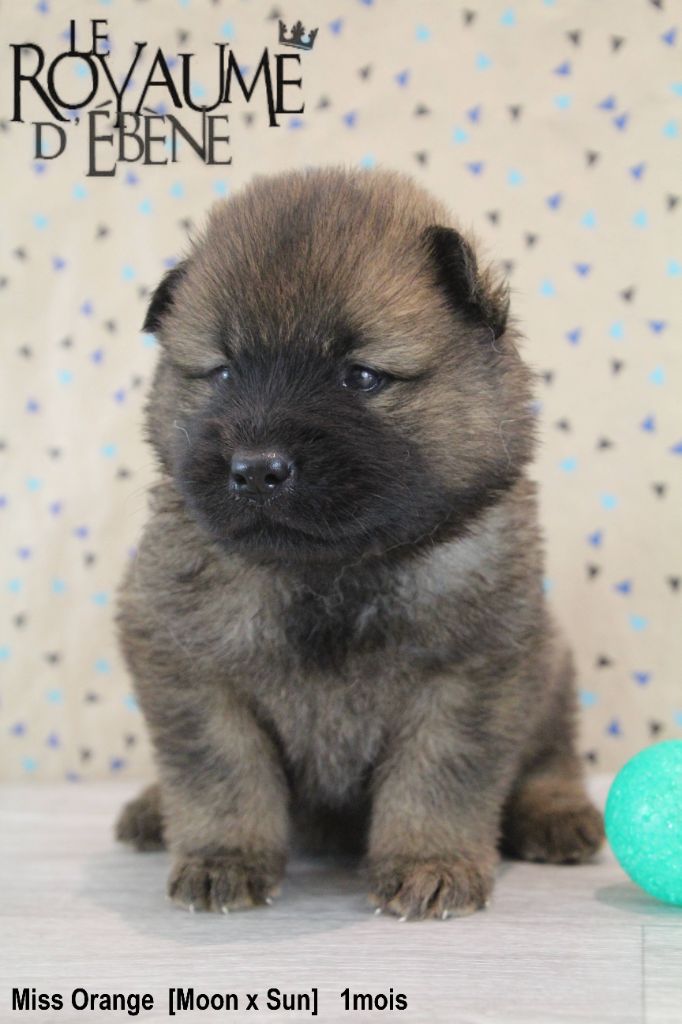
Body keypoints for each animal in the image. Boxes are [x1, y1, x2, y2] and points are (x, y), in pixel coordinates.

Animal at [115, 167, 604, 920]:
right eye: (224, 372)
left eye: (362, 376)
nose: (256, 468)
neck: (331, 572)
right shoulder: (187, 663)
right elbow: (221, 771)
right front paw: (224, 858)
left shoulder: (470, 673)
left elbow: (438, 779)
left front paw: (430, 864)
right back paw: (149, 810)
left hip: (552, 673)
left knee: (553, 758)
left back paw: (556, 814)